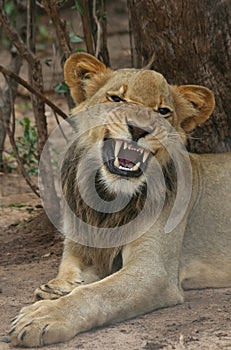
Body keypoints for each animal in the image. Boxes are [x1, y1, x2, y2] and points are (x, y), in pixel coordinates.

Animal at [9, 52, 231, 348]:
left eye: (163, 111)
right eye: (116, 98)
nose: (138, 129)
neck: (108, 200)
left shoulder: (154, 271)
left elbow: (98, 294)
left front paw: (42, 317)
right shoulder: (81, 243)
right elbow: (68, 267)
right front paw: (56, 288)